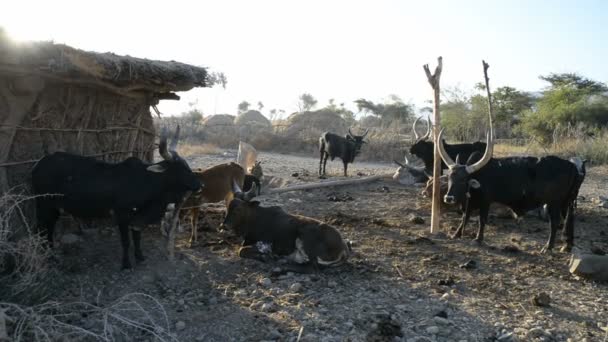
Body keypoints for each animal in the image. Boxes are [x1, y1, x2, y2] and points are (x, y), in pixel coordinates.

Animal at [32, 126, 202, 270]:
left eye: (187, 165)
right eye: (178, 168)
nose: (200, 184)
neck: (146, 181)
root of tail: (39, 164)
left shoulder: (137, 218)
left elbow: (137, 238)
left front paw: (140, 257)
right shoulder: (122, 215)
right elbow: (126, 242)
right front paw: (126, 264)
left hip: (54, 208)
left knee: (48, 228)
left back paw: (51, 254)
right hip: (43, 206)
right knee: (40, 229)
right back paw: (49, 258)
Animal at [222, 198, 352, 272]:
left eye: (238, 209)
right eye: (227, 207)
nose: (224, 225)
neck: (254, 219)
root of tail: (343, 248)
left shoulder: (266, 244)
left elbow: (241, 250)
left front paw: (264, 257)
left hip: (306, 240)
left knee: (312, 268)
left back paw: (282, 267)